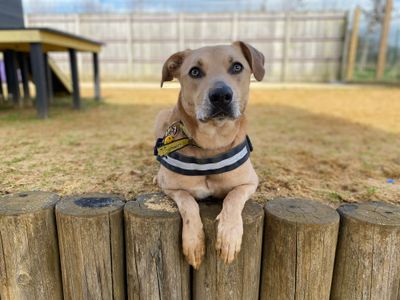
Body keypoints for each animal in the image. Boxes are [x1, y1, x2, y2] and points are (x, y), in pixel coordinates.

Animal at [155, 41, 264, 268]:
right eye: (195, 71)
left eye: (237, 67)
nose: (221, 95)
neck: (212, 143)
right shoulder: (171, 188)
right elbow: (188, 203)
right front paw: (194, 243)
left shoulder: (250, 183)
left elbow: (233, 197)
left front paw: (229, 237)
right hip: (160, 118)